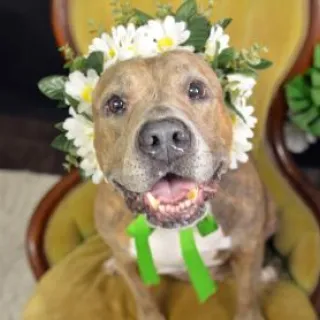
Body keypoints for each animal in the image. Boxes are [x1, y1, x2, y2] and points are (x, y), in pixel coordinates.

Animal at [91, 50, 276, 320]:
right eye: (115, 104)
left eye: (196, 90)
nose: (163, 136)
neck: (176, 229)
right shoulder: (127, 261)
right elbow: (143, 297)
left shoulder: (248, 247)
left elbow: (246, 295)